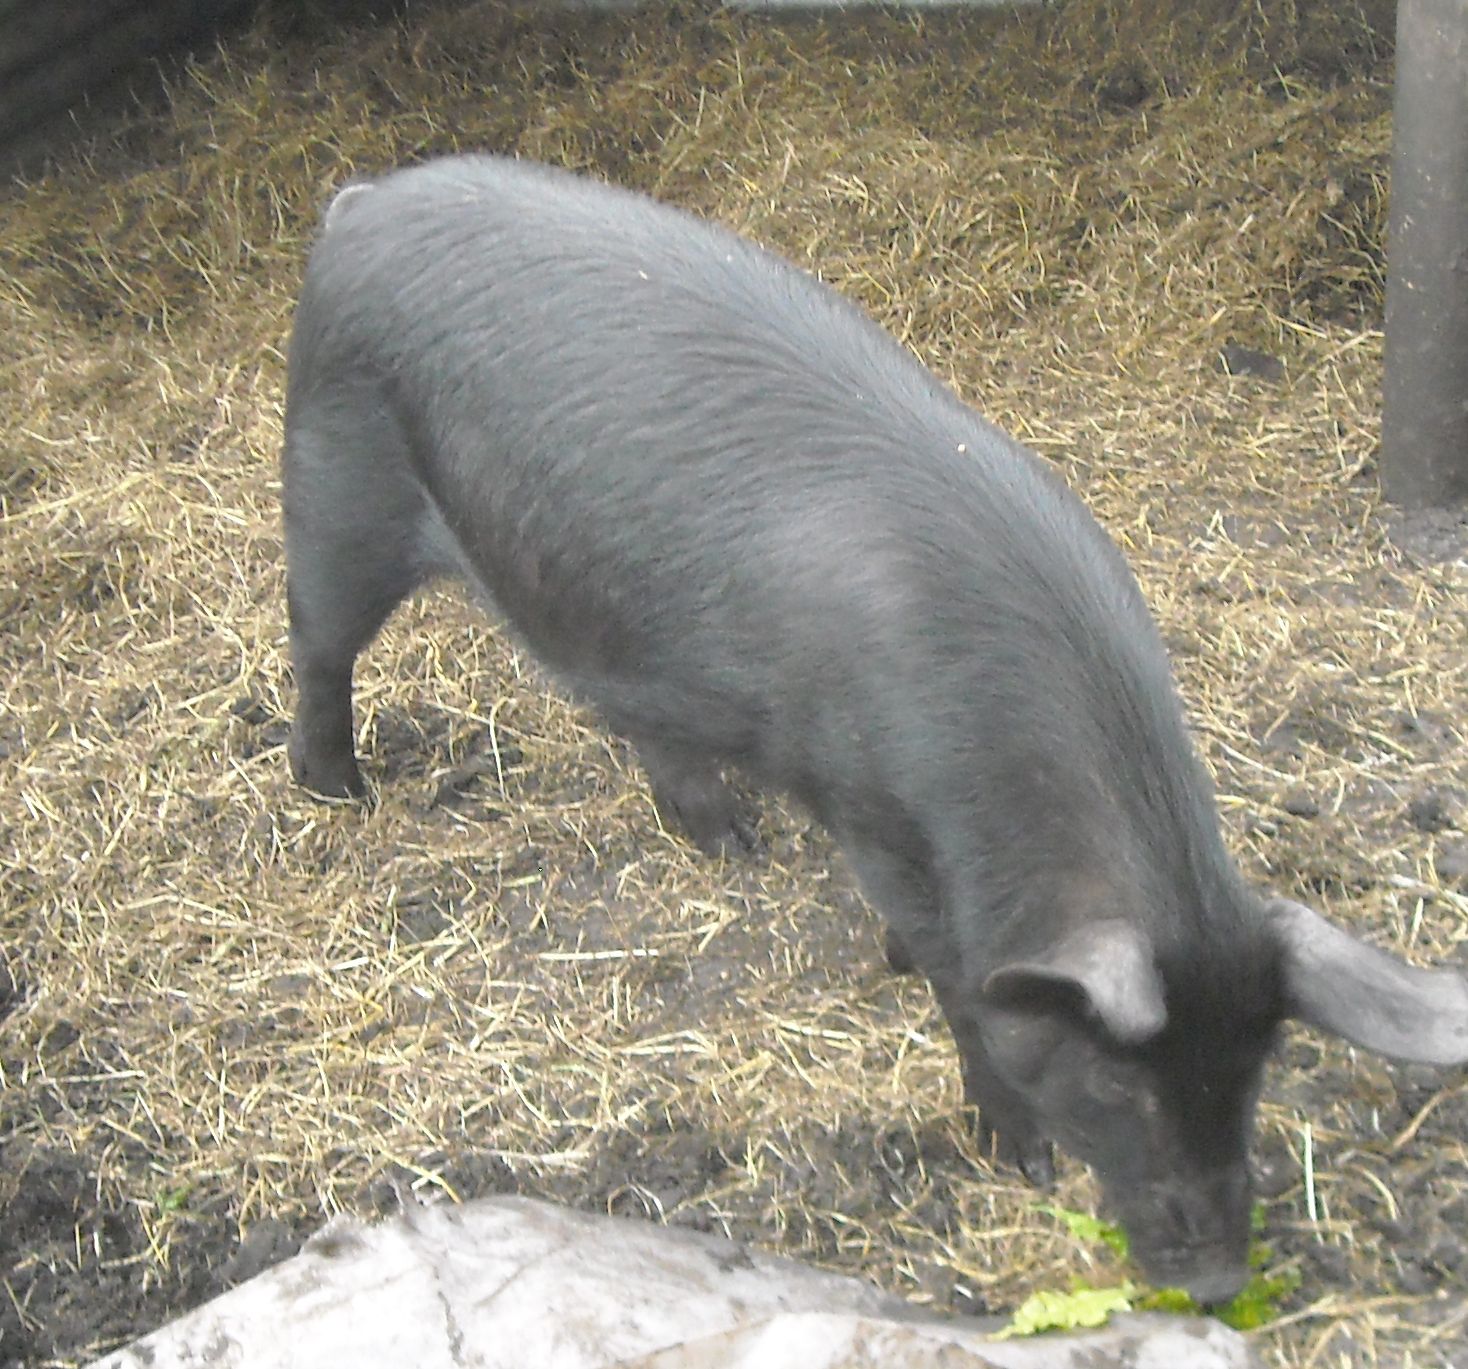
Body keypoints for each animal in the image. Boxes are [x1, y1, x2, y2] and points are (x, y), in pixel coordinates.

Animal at [282, 154, 1468, 1304]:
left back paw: (732, 841)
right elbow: (953, 976)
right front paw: (1017, 1153)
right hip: (336, 485)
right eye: (1114, 1079)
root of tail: (358, 206)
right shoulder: (873, 810)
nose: (1220, 1280)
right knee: (318, 647)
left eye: (1251, 1073)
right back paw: (340, 791)